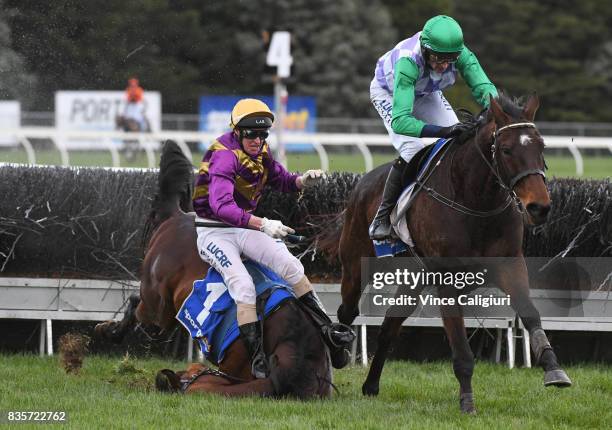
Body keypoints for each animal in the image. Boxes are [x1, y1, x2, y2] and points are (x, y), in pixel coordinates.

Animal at [95, 142, 332, 400]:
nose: (168, 378)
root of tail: (178, 216)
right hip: (158, 305)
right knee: (139, 305)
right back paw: (109, 330)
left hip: (161, 307)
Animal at [322, 93, 572, 414]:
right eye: (506, 150)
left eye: (542, 146)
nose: (539, 207)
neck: (476, 202)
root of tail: (362, 183)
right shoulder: (447, 280)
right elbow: (461, 347)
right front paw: (467, 401)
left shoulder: (510, 265)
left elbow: (530, 314)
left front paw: (554, 368)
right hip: (356, 263)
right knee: (348, 311)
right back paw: (338, 352)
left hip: (414, 278)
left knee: (390, 324)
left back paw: (371, 385)